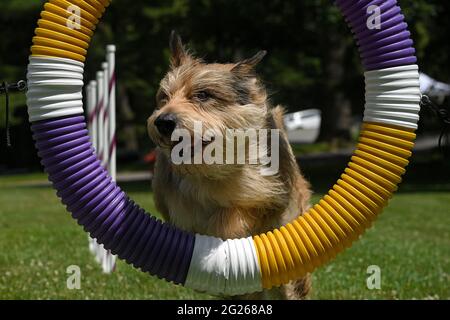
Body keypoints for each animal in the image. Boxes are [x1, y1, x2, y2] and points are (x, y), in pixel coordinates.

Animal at [148, 32, 312, 300]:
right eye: (164, 96)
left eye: (203, 95)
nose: (162, 122)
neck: (214, 168)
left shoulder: (271, 197)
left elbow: (235, 214)